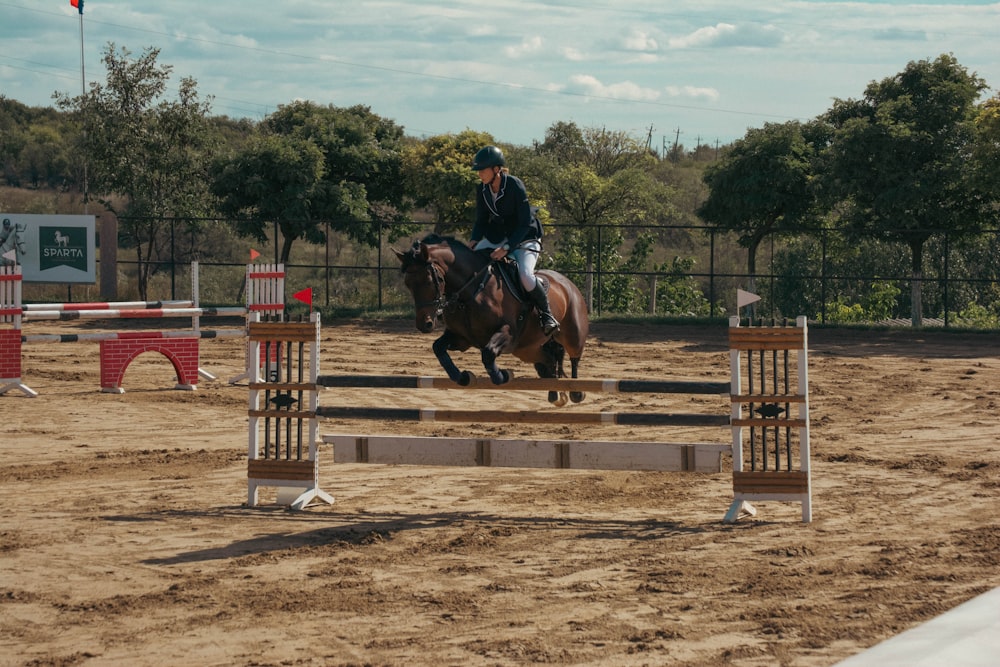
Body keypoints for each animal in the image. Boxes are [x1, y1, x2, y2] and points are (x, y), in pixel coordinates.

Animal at [394, 235, 588, 404]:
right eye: (407, 283)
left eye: (429, 281)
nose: (424, 324)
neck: (470, 292)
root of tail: (567, 283)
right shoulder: (462, 338)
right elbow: (438, 348)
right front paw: (463, 377)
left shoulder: (508, 333)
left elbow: (488, 353)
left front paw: (504, 375)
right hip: (526, 349)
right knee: (549, 361)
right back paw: (555, 395)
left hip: (572, 334)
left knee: (574, 358)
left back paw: (576, 392)